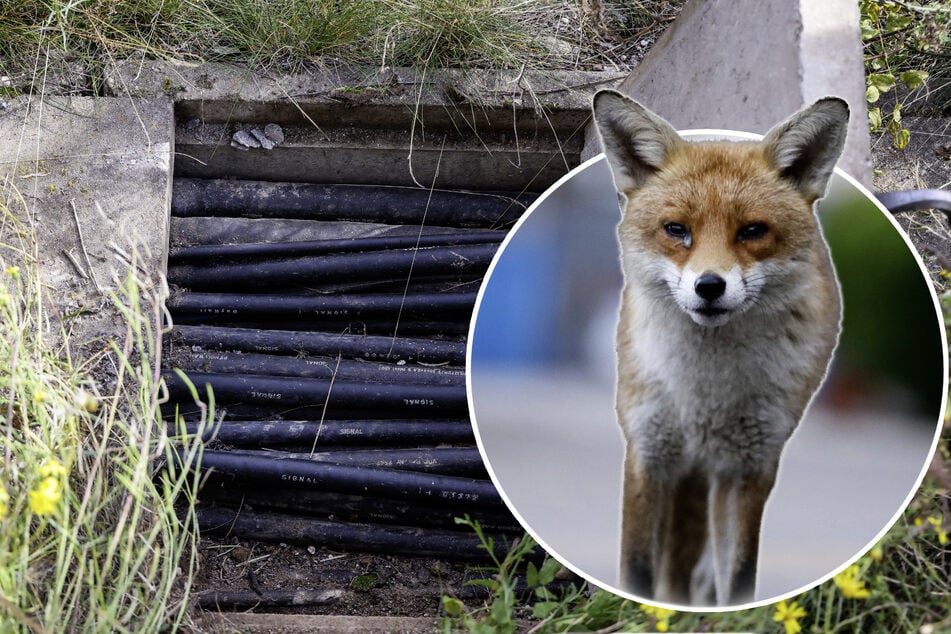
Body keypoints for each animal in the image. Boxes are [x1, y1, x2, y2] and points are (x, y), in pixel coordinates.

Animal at [591, 90, 849, 606]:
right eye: (676, 229)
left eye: (751, 231)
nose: (709, 286)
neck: (704, 397)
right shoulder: (649, 452)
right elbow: (638, 573)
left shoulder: (748, 467)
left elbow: (740, 581)